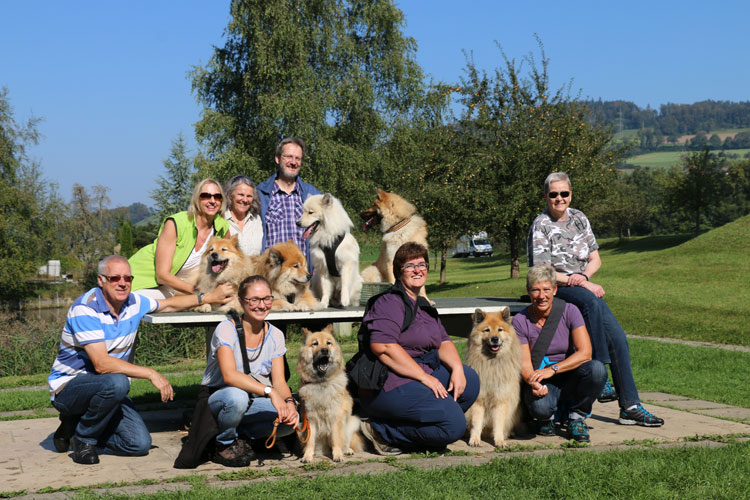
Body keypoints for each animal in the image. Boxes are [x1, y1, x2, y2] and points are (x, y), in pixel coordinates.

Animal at [296, 326, 364, 462]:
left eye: (328, 343)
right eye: (315, 343)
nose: (324, 350)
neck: (321, 382)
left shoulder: (335, 418)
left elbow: (336, 439)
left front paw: (337, 455)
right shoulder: (310, 420)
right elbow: (310, 441)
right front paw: (307, 456)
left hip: (352, 422)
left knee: (345, 442)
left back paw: (347, 450)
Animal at [464, 308, 524, 446]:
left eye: (500, 329)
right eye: (487, 330)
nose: (495, 339)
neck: (491, 363)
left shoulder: (500, 399)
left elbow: (499, 423)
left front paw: (499, 440)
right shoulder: (479, 400)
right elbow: (476, 423)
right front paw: (474, 439)